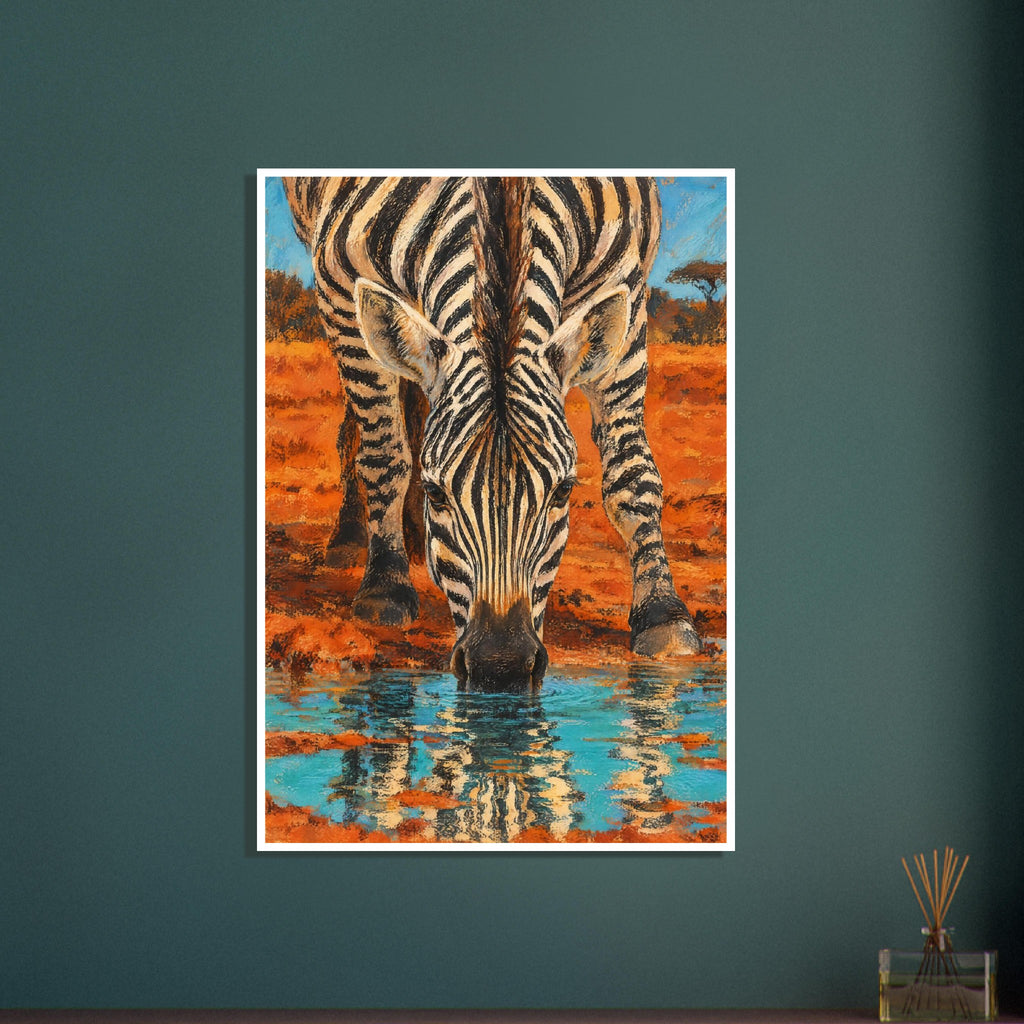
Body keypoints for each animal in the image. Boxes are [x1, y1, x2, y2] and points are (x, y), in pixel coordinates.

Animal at [282, 175, 701, 691]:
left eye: (563, 491)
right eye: (436, 493)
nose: (500, 667)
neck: (503, 194)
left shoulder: (626, 286)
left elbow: (632, 475)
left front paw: (663, 615)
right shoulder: (339, 287)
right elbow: (384, 455)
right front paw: (385, 586)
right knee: (366, 432)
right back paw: (352, 538)